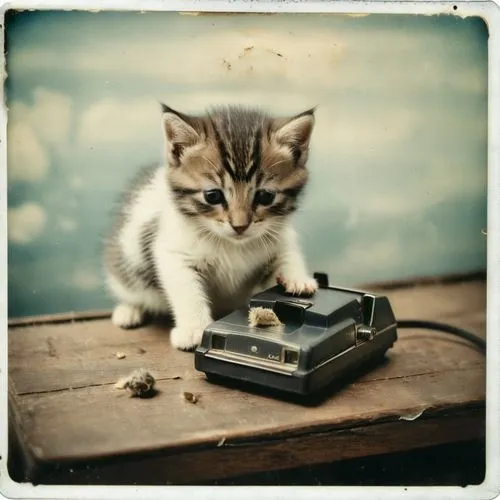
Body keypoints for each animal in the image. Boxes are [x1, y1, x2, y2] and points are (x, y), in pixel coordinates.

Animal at [103, 103, 318, 350]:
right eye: (213, 196)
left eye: (265, 196)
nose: (240, 226)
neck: (232, 244)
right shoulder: (173, 252)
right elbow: (187, 291)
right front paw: (194, 329)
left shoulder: (279, 235)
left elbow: (287, 253)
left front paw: (297, 278)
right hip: (127, 261)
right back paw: (128, 310)